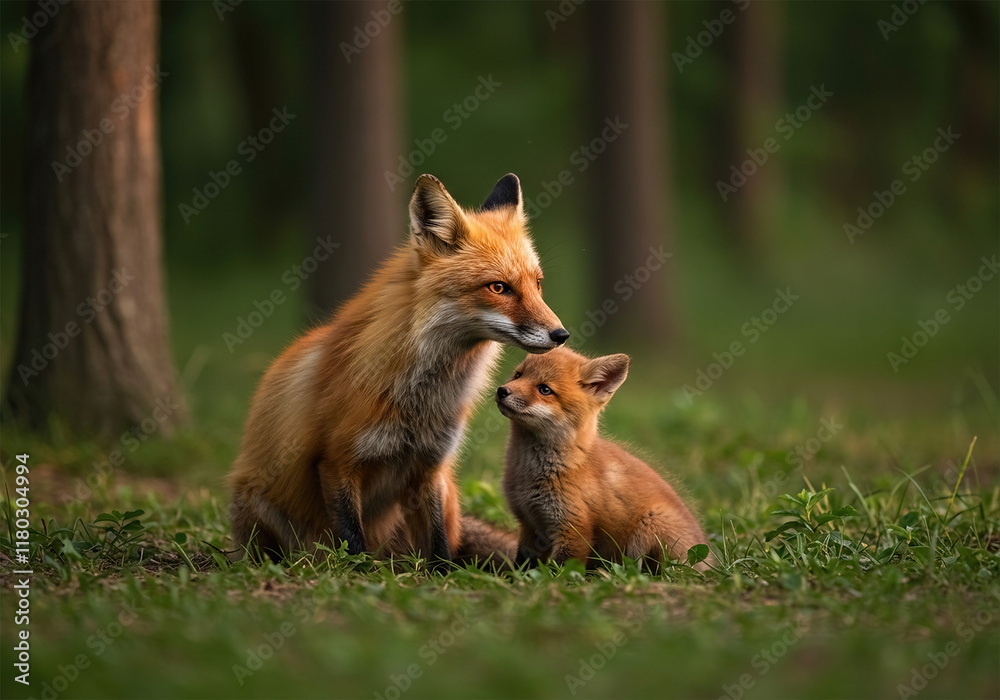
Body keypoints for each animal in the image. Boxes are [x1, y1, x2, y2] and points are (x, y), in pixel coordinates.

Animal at [228, 173, 568, 563]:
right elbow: (353, 541)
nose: (561, 334)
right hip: (258, 506)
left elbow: (439, 547)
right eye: (498, 287)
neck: (419, 400)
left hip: (446, 494)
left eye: (537, 284)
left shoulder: (431, 467)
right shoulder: (336, 462)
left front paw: (442, 574)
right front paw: (358, 570)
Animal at [497, 348, 711, 572]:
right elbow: (523, 566)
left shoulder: (574, 529)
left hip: (651, 525)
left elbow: (564, 570)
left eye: (544, 389)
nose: (502, 391)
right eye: (518, 375)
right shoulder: (531, 527)